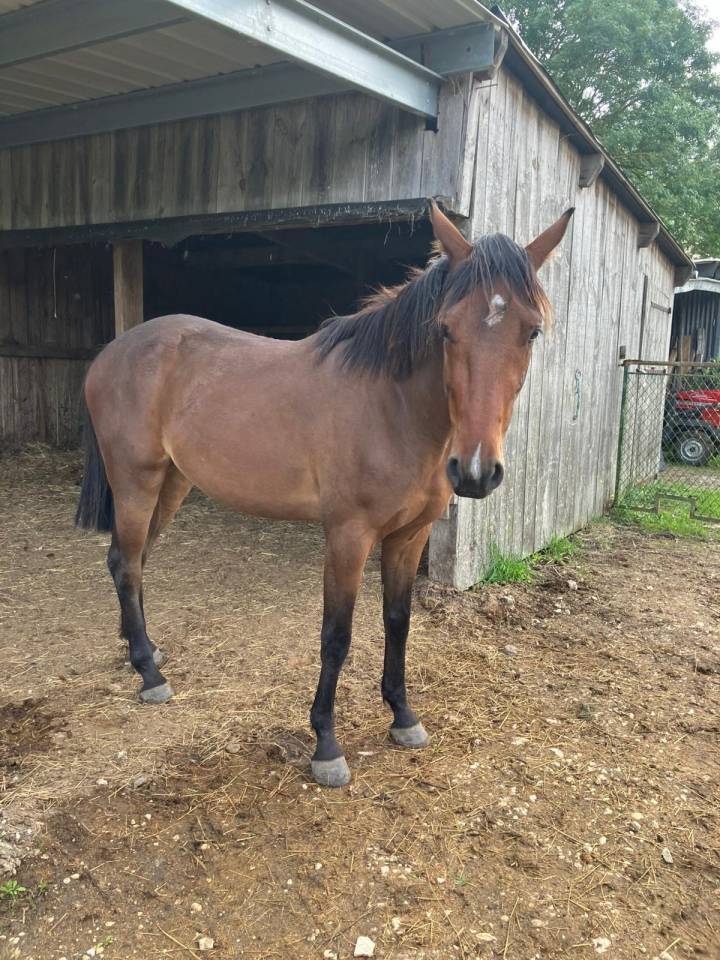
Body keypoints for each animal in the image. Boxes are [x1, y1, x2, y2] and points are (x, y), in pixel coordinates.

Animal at [75, 201, 573, 787]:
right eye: (446, 329)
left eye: (532, 332)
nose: (475, 472)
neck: (391, 406)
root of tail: (113, 352)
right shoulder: (348, 536)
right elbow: (337, 636)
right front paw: (327, 745)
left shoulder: (409, 537)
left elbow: (398, 623)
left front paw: (403, 716)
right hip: (137, 480)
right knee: (127, 563)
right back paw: (149, 675)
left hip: (172, 483)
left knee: (130, 561)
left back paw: (142, 649)